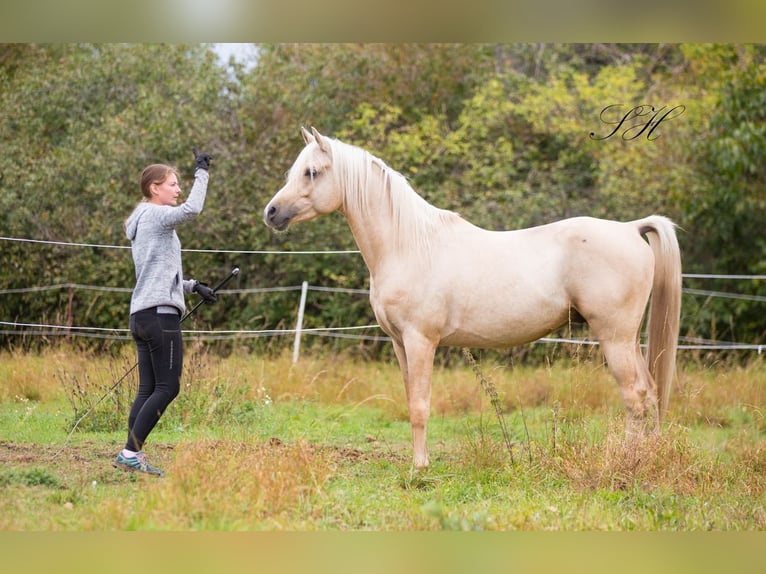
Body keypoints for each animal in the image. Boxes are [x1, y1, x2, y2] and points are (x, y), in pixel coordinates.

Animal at [266, 128, 684, 470]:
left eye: (312, 172)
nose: (271, 213)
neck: (409, 245)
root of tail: (630, 228)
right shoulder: (400, 343)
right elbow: (410, 399)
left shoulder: (421, 340)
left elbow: (420, 406)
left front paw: (420, 468)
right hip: (628, 339)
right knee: (650, 392)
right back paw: (650, 457)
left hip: (614, 337)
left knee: (634, 397)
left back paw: (629, 461)